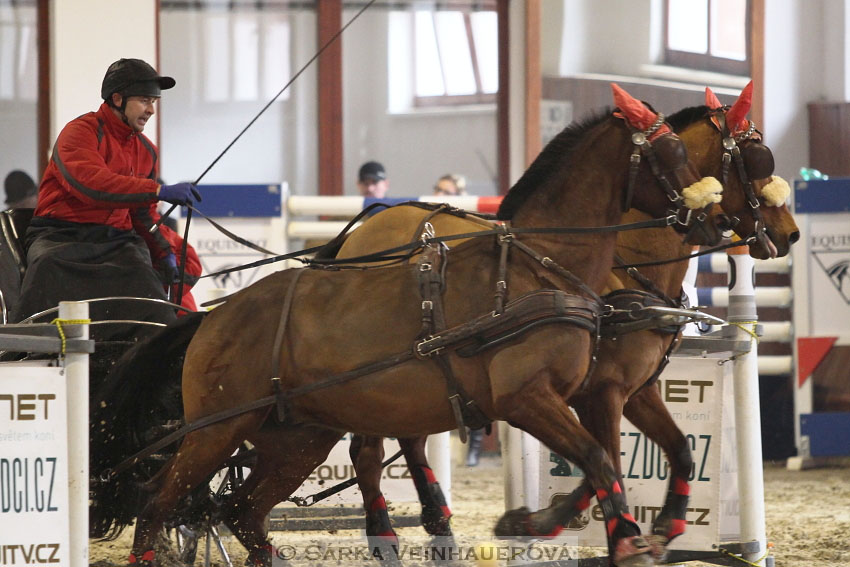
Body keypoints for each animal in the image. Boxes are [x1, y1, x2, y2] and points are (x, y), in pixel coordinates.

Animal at [99, 84, 724, 567]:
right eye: (670, 151)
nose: (715, 219)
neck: (536, 267)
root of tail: (212, 317)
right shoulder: (529, 398)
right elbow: (598, 460)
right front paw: (612, 537)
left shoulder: (586, 394)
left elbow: (612, 463)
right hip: (215, 431)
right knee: (159, 505)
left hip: (296, 439)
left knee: (240, 510)